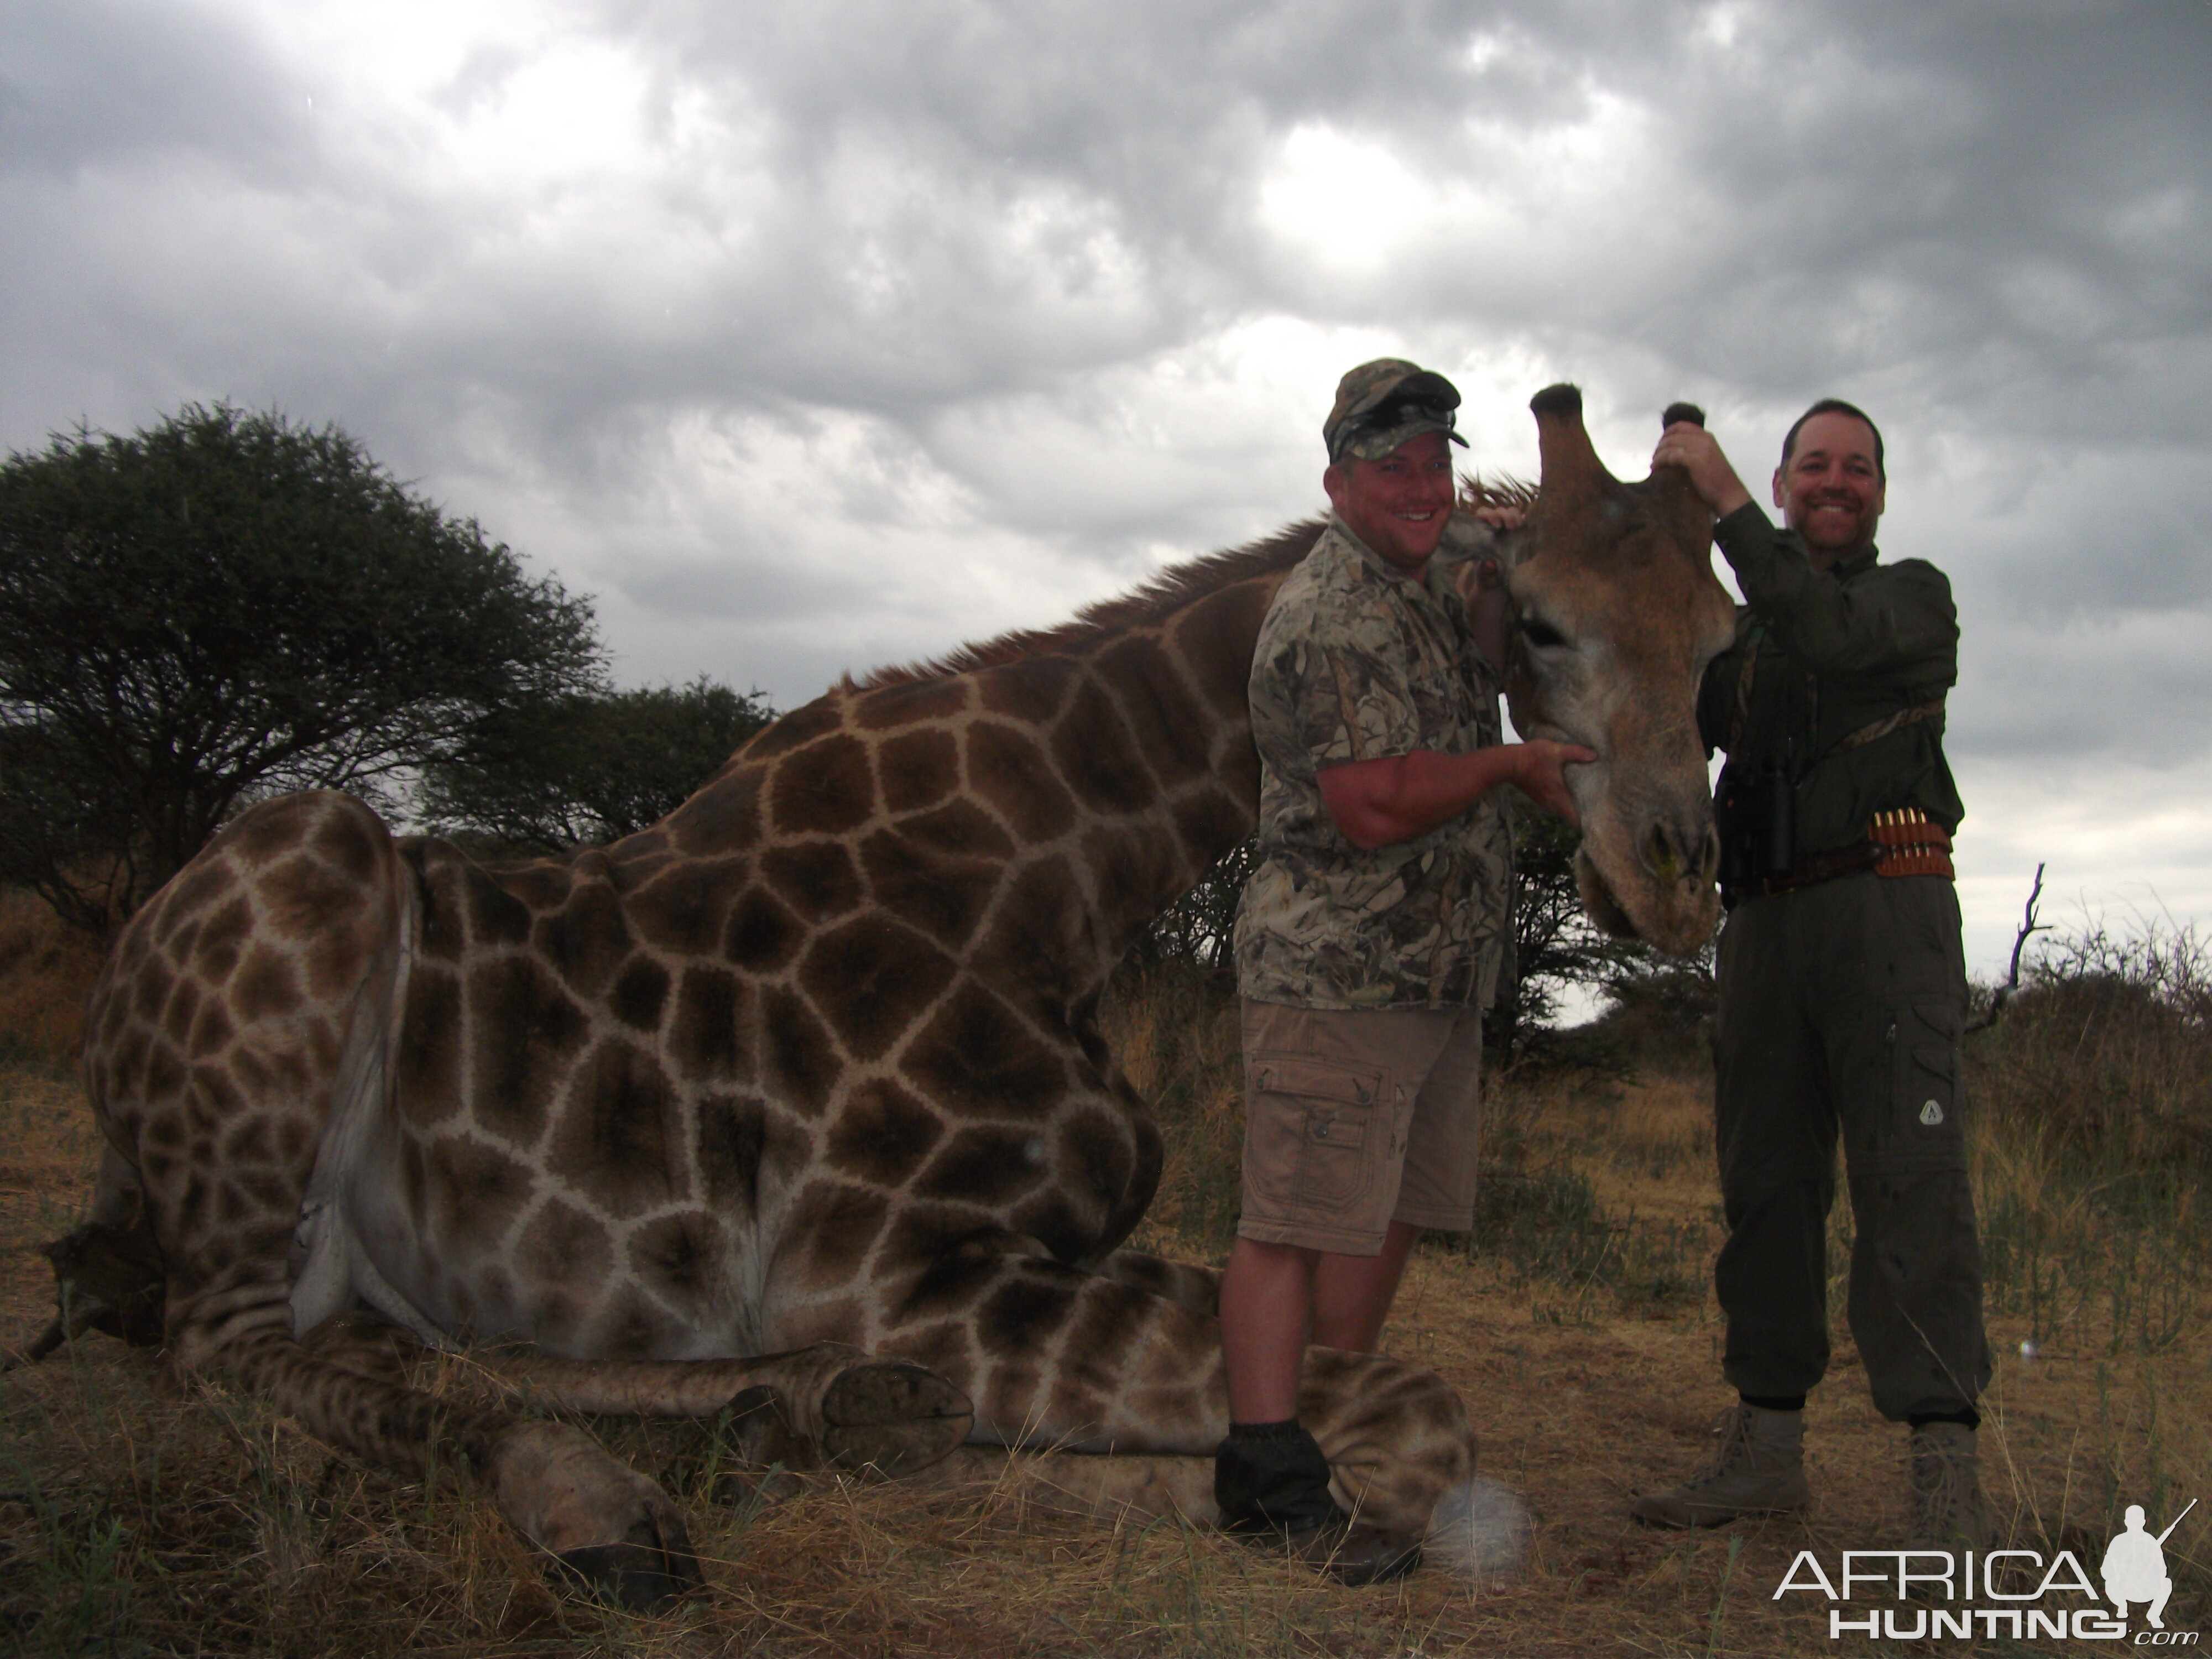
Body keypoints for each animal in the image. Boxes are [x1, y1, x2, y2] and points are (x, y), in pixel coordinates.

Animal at [52, 383, 1725, 1601]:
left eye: (1722, 640)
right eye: (1544, 624)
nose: (1676, 880)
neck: (1065, 874)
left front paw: (844, 1427)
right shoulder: (879, 1267)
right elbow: (1408, 1421)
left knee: (399, 1346)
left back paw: (769, 1422)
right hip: (309, 866)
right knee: (225, 1349)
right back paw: (621, 1502)